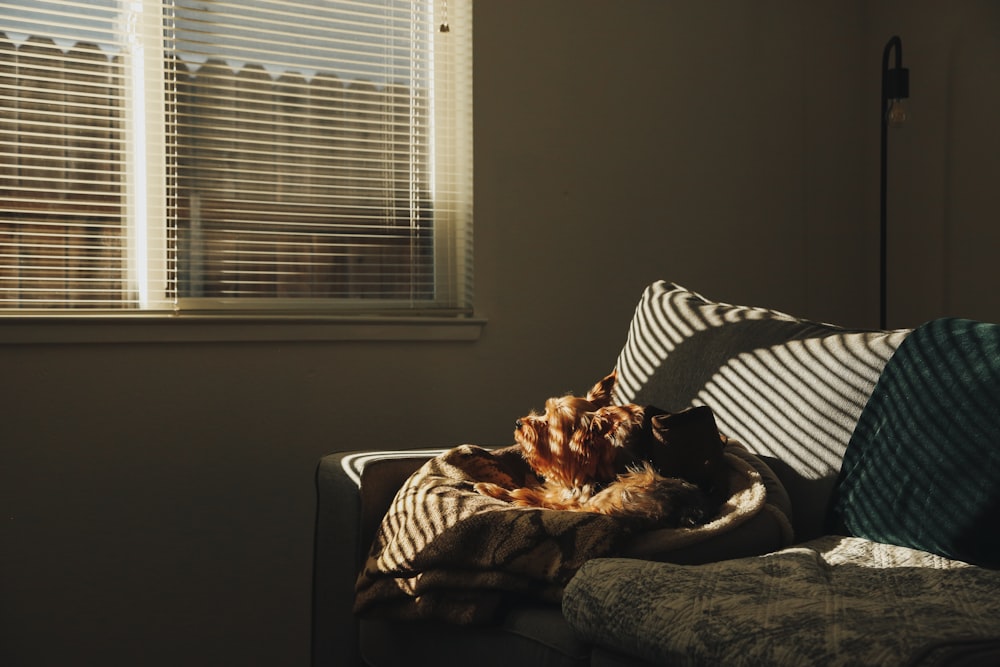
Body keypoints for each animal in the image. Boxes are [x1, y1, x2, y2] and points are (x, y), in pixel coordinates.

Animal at [472, 370, 724, 528]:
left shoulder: (568, 500)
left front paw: (493, 488)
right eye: (545, 411)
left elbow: (532, 495)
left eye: (549, 424)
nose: (518, 423)